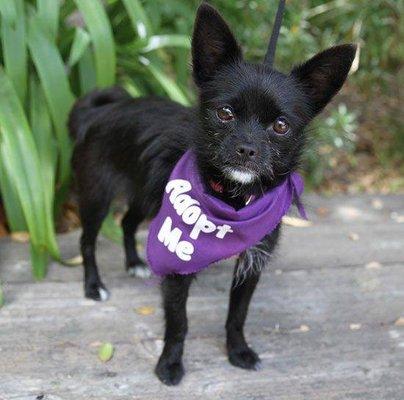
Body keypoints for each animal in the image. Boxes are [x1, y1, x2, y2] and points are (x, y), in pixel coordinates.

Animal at [68, 1, 356, 386]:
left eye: (281, 126)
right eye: (225, 113)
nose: (247, 149)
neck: (230, 199)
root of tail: (100, 111)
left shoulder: (252, 261)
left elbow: (238, 314)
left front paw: (238, 352)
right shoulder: (178, 261)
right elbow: (179, 322)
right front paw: (170, 364)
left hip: (145, 194)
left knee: (128, 223)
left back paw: (135, 264)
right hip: (98, 196)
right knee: (87, 241)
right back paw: (93, 286)